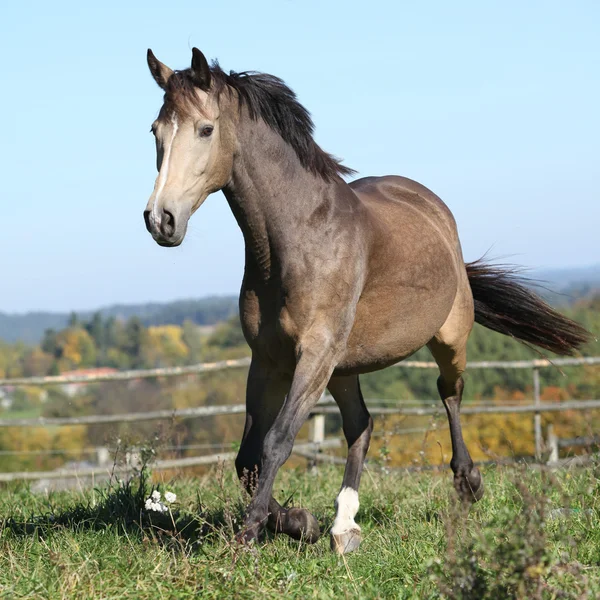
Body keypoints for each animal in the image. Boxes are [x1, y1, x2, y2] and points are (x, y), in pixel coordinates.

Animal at [143, 49, 588, 556]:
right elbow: (247, 456)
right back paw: (344, 525)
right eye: (155, 132)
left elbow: (276, 441)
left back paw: (467, 483)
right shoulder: (269, 360)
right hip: (344, 367)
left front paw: (250, 533)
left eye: (205, 129)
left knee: (449, 393)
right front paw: (299, 521)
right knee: (362, 425)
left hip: (447, 339)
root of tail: (433, 207)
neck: (297, 238)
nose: (160, 219)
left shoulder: (314, 354)